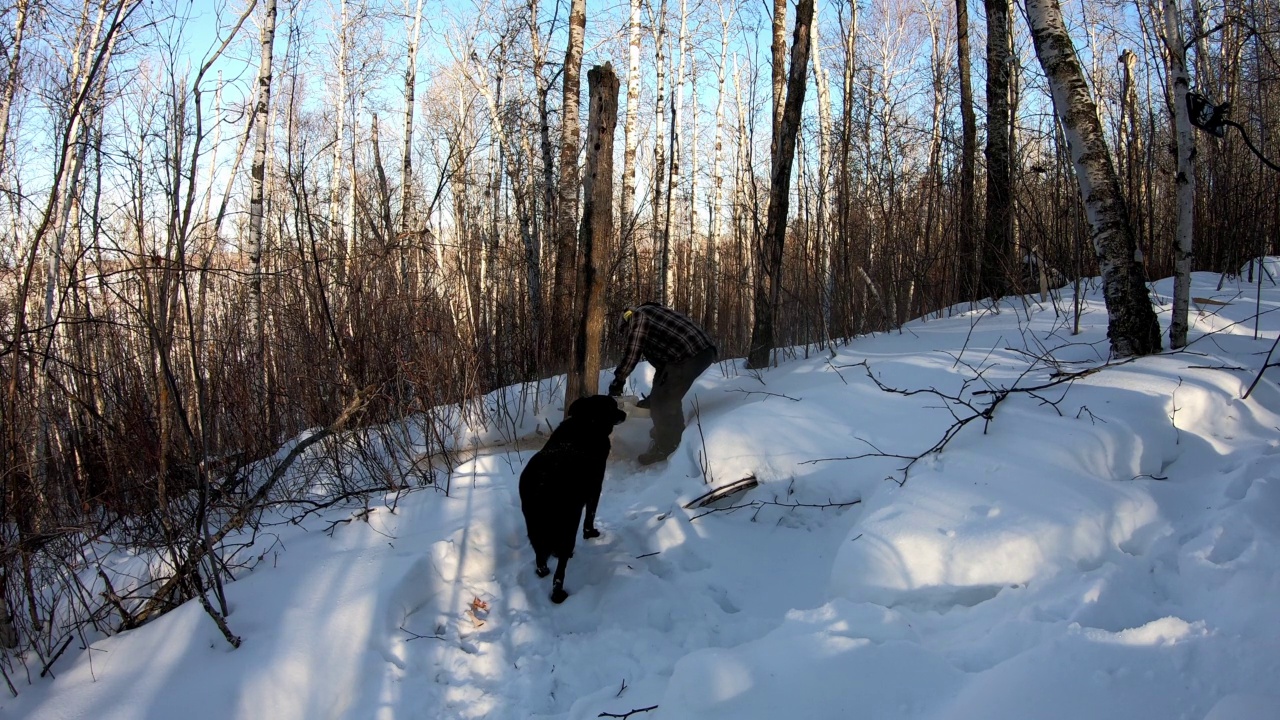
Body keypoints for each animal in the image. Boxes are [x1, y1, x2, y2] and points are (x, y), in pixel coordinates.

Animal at [514, 392, 624, 599]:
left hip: (534, 526)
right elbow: (590, 516)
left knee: (540, 557)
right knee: (560, 568)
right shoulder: (595, 490)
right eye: (612, 406)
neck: (585, 423)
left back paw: (543, 572)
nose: (624, 413)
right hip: (568, 524)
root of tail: (542, 484)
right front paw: (591, 534)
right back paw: (559, 594)